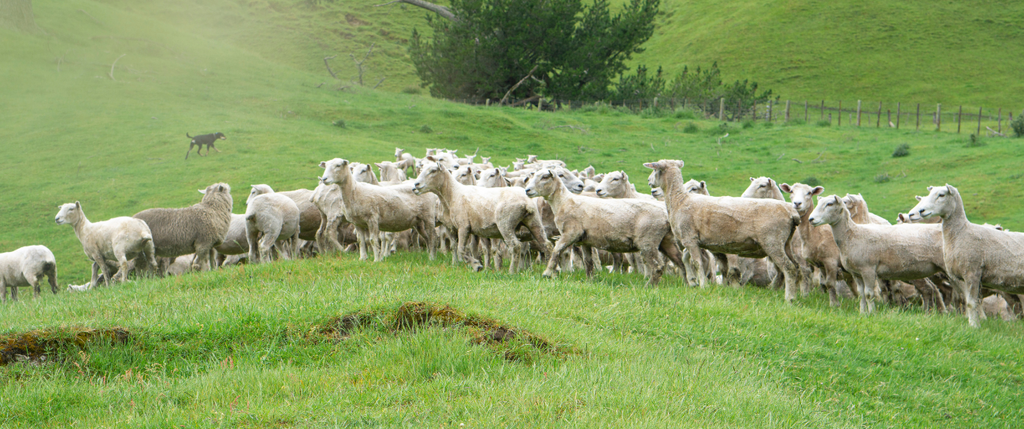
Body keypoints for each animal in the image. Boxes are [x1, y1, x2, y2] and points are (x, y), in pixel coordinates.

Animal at [411, 159, 548, 274]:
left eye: (433, 171)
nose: (416, 185)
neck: (453, 194)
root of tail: (526, 201)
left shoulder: (464, 226)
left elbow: (462, 249)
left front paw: (476, 265)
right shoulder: (452, 228)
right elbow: (456, 247)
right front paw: (460, 264)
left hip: (506, 225)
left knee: (516, 246)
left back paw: (512, 271)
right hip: (534, 222)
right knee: (546, 244)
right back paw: (551, 272)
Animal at [524, 167, 684, 284]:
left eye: (544, 177)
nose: (527, 190)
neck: (564, 201)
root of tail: (665, 215)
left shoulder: (570, 233)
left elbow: (556, 250)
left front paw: (547, 273)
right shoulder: (585, 240)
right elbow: (588, 262)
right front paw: (590, 280)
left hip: (648, 241)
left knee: (658, 266)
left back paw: (649, 285)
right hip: (666, 240)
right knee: (680, 261)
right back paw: (687, 283)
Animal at [909, 184, 1024, 329]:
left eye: (941, 195)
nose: (920, 211)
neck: (961, 232)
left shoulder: (972, 272)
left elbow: (970, 303)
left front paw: (974, 326)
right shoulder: (964, 277)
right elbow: (968, 301)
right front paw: (973, 322)